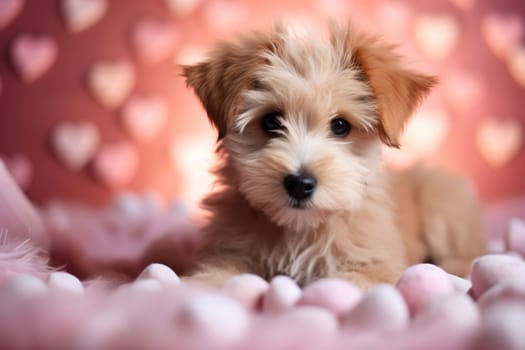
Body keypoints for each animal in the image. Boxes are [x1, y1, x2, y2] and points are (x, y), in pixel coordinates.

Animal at [182, 22, 486, 290]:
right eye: (270, 121)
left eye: (340, 126)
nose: (299, 184)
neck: (300, 231)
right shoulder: (228, 250)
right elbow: (215, 274)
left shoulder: (376, 263)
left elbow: (346, 280)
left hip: (443, 200)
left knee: (470, 252)